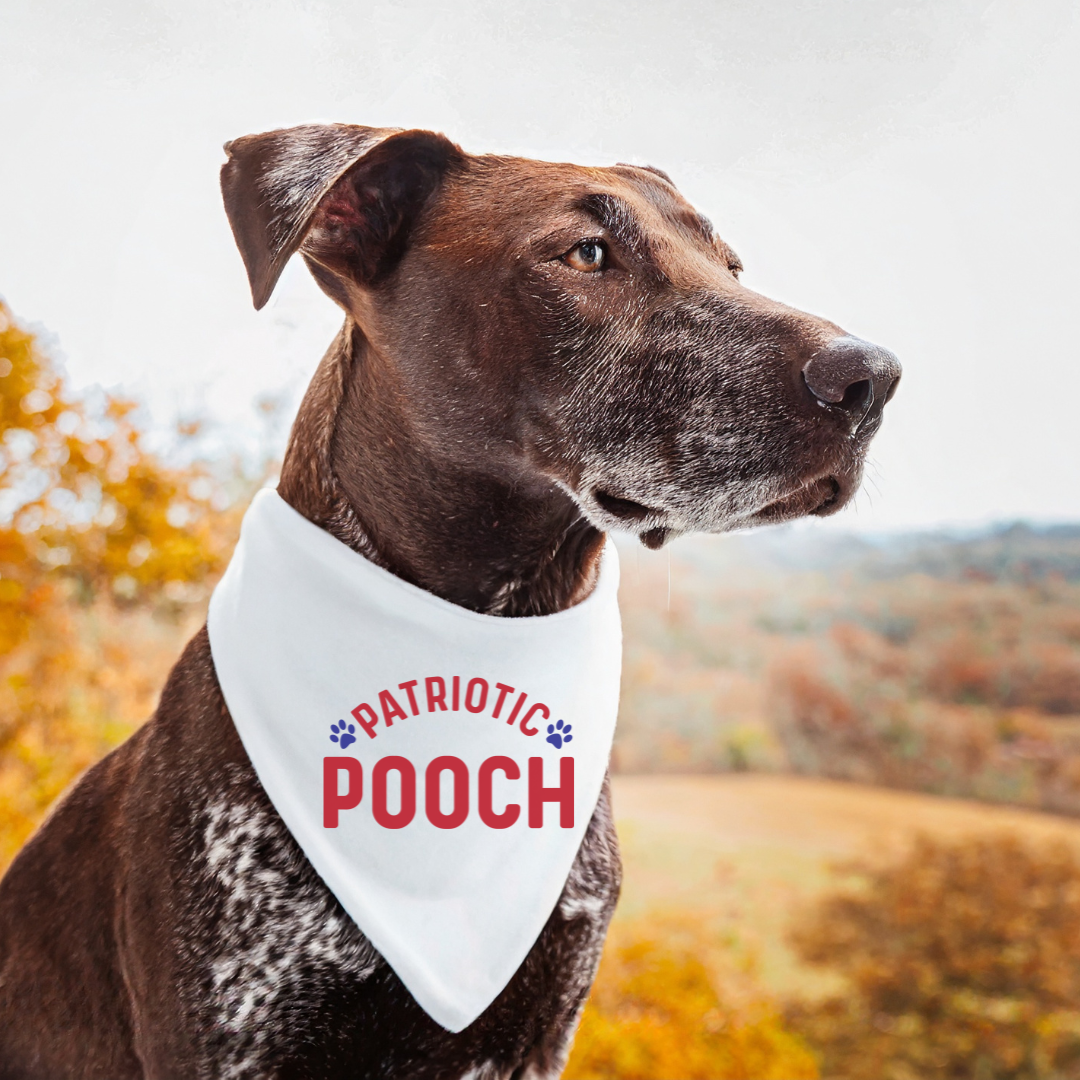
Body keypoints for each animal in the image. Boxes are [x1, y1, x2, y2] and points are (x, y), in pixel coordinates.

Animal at [0, 122, 898, 1075]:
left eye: (729, 264)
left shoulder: (543, 1026)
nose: (872, 378)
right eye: (588, 253)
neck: (481, 630)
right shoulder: (234, 1033)